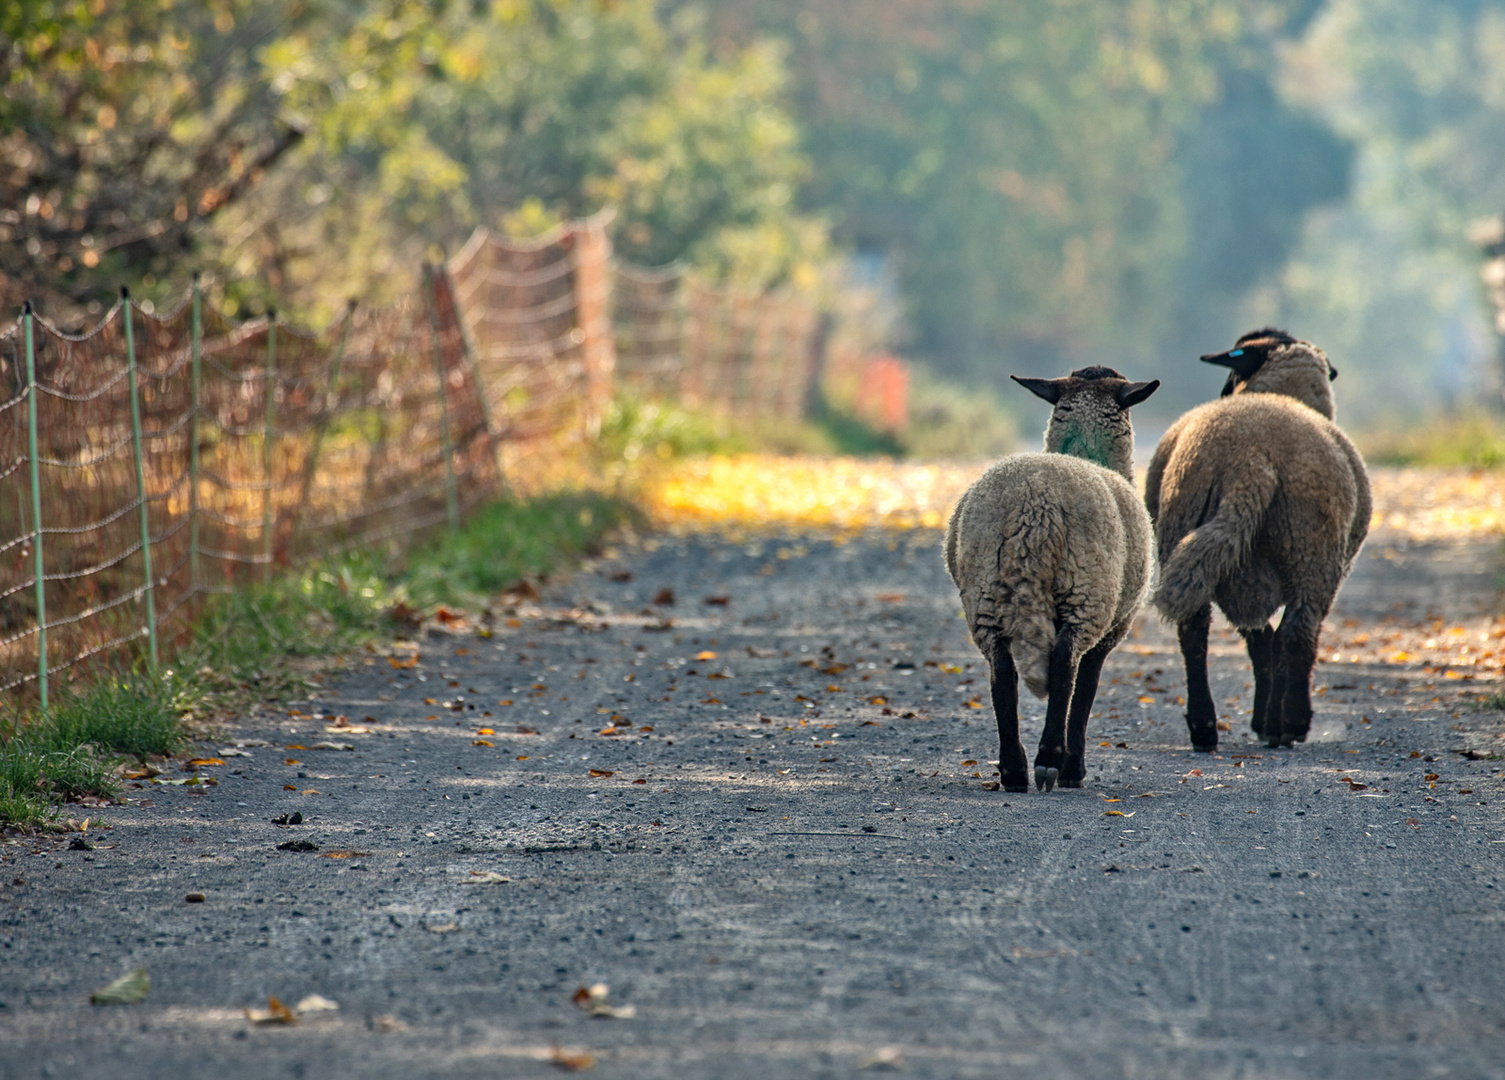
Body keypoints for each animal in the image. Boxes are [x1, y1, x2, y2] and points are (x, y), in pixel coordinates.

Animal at [945, 365, 1155, 794]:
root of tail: (1035, 503)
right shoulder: (1112, 628)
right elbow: (1087, 689)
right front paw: (1075, 767)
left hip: (985, 592)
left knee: (1002, 672)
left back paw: (1013, 769)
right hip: (1086, 590)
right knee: (1063, 668)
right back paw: (1051, 762)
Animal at [1137, 329, 1378, 752]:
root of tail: (1250, 458)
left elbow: (1261, 643)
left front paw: (1261, 720)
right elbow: (1275, 641)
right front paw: (1271, 722)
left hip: (1193, 538)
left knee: (1195, 633)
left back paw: (1205, 727)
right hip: (1312, 551)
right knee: (1297, 635)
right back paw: (1291, 724)